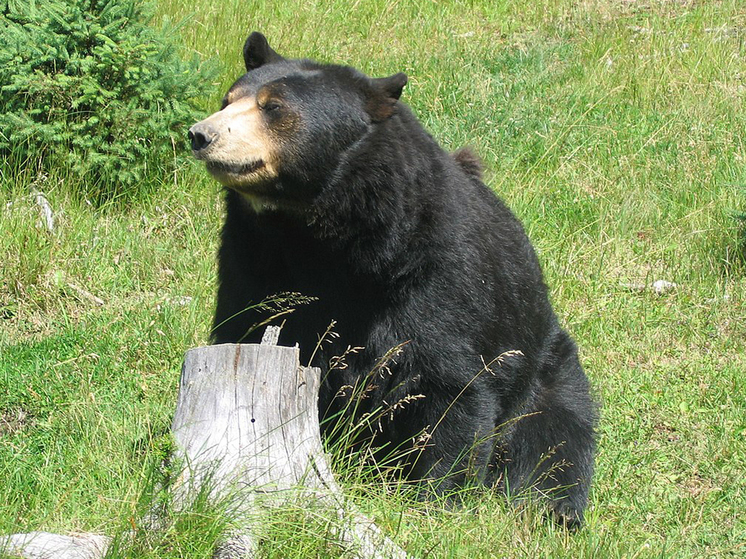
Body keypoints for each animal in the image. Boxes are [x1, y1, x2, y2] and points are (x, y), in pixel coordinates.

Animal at [189, 30, 596, 528]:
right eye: (228, 99)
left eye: (274, 107)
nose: (201, 134)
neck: (320, 235)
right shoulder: (252, 259)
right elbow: (246, 328)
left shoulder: (436, 274)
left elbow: (451, 387)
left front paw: (435, 499)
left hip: (546, 378)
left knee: (552, 444)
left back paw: (552, 507)